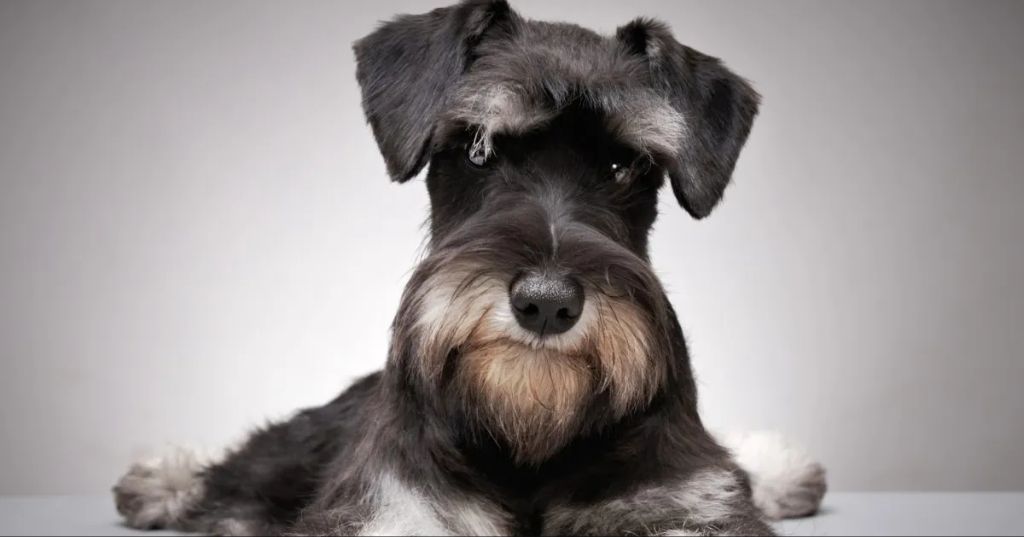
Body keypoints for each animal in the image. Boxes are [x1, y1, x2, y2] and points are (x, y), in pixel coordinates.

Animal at [116, 2, 827, 532]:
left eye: (624, 165)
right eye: (478, 149)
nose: (547, 302)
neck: (529, 441)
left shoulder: (682, 500)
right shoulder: (396, 506)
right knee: (244, 468)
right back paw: (158, 479)